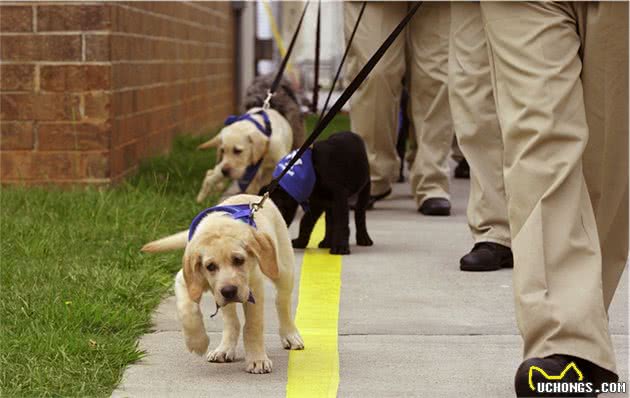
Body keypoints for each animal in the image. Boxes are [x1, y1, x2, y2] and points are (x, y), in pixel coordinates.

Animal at [142, 194, 304, 374]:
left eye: (239, 260)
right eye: (210, 266)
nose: (229, 291)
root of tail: (254, 197)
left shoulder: (254, 288)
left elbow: (253, 326)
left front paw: (257, 360)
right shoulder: (185, 280)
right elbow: (187, 310)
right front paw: (197, 342)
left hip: (282, 269)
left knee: (282, 302)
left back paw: (290, 335)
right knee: (232, 321)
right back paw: (224, 349)